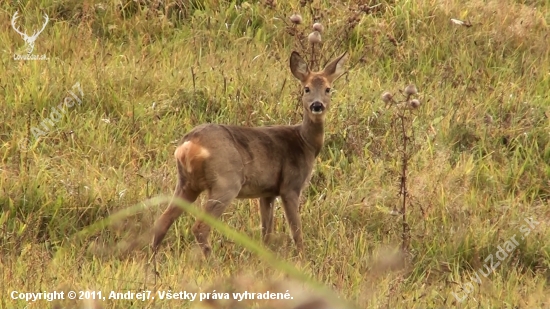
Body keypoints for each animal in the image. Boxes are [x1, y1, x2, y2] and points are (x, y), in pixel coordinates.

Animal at [153, 51, 348, 258]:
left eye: (328, 89)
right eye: (306, 88)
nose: (317, 106)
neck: (305, 142)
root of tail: (188, 144)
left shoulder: (267, 192)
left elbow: (266, 232)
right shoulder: (290, 186)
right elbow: (296, 230)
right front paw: (302, 258)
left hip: (186, 183)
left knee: (162, 220)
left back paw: (153, 258)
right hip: (226, 182)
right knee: (200, 227)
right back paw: (212, 261)